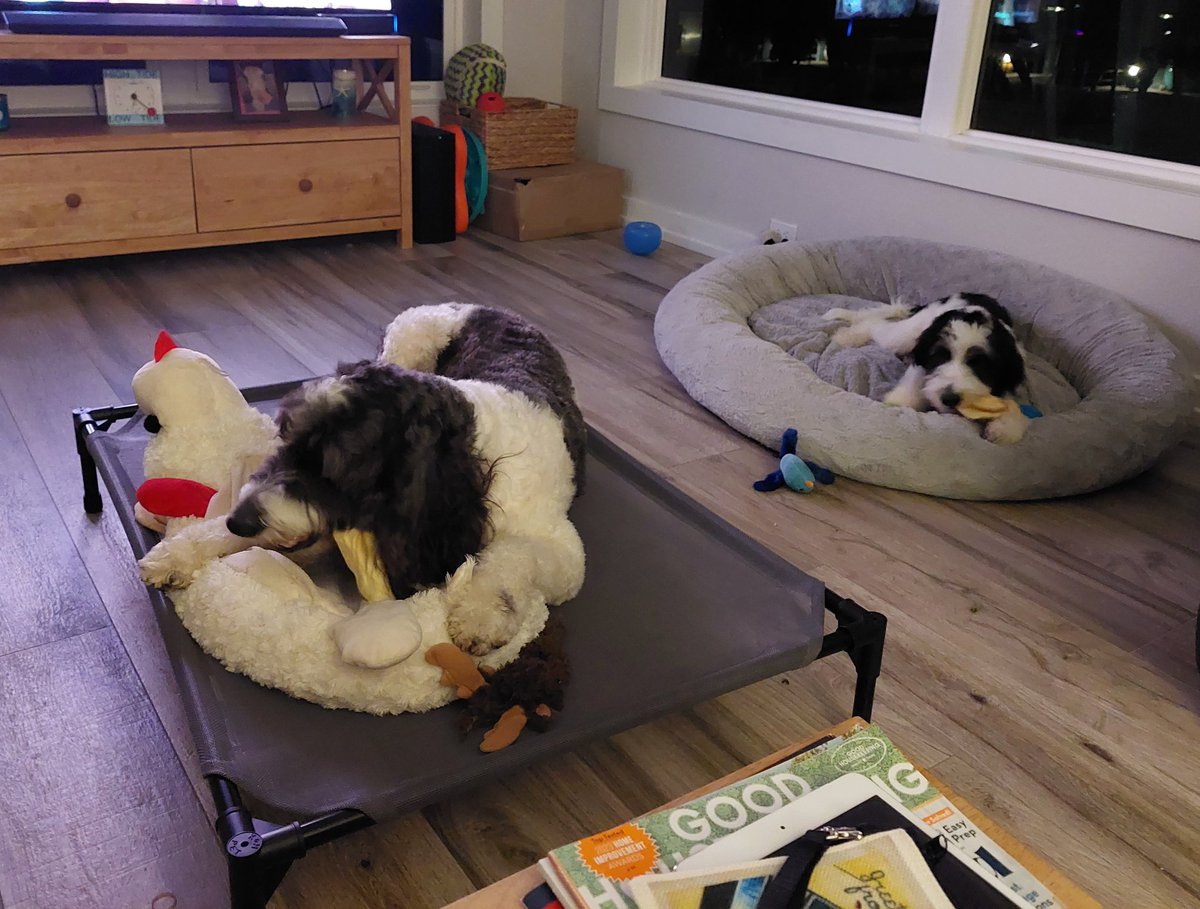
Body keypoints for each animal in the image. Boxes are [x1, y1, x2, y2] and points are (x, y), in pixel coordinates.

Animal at [138, 305, 588, 671]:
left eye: (331, 470)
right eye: (285, 438)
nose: (239, 522)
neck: (471, 458)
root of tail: (480, 305)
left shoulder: (564, 551)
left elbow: (515, 554)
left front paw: (482, 614)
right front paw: (180, 553)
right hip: (406, 344)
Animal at [825, 293, 1032, 446]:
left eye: (980, 364)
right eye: (940, 356)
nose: (949, 399)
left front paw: (1005, 426)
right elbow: (905, 397)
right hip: (907, 335)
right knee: (876, 326)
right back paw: (848, 335)